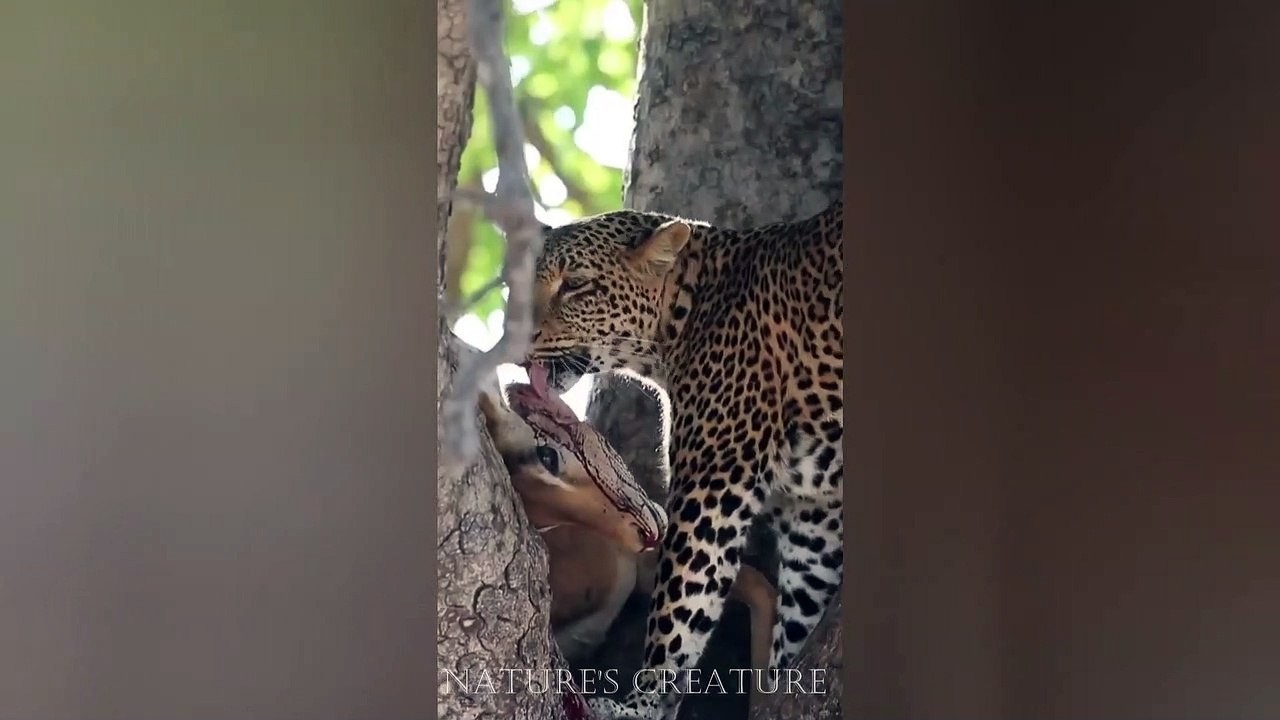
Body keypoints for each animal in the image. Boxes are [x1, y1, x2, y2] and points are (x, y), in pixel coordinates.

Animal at [521, 200, 843, 720]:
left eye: (576, 285)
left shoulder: (716, 480)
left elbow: (682, 603)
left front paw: (642, 704)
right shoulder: (813, 514)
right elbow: (802, 604)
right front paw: (783, 682)